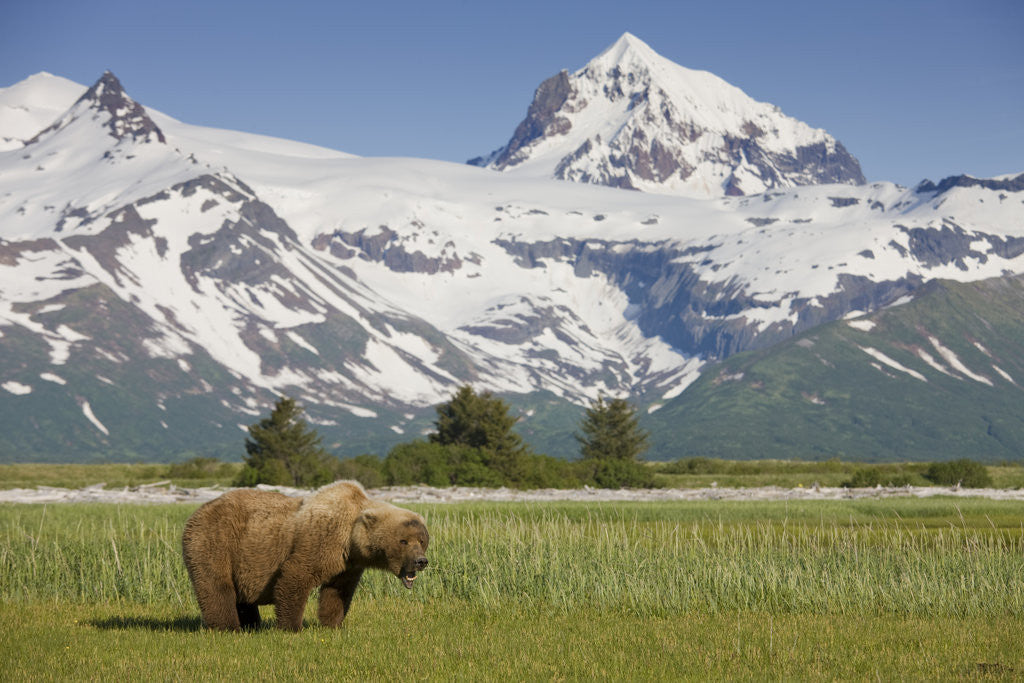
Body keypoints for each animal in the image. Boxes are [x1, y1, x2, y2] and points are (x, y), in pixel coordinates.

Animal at [181, 480, 429, 631]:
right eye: (403, 541)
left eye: (422, 541)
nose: (421, 561)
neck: (350, 537)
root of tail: (197, 511)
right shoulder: (320, 540)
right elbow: (295, 576)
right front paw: (292, 627)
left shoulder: (348, 564)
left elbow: (337, 591)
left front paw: (333, 623)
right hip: (216, 541)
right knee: (217, 585)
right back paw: (228, 627)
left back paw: (251, 624)